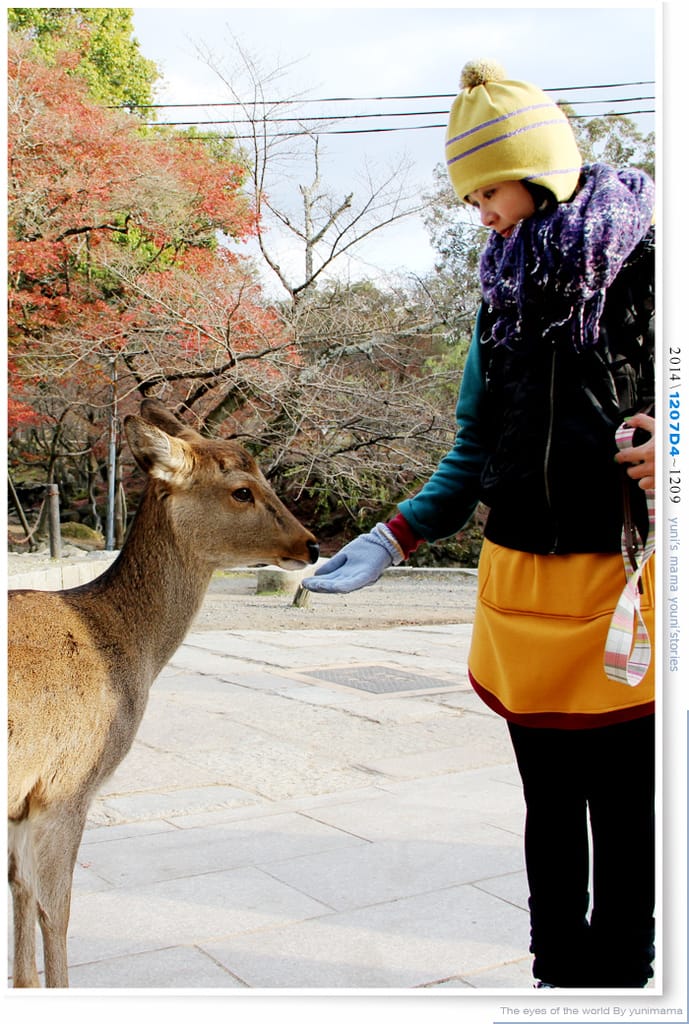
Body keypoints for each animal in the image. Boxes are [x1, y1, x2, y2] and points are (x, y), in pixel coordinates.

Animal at [7, 398, 319, 988]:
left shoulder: (22, 801)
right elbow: (53, 907)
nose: (311, 545)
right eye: (242, 490)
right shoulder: (66, 782)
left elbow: (18, 889)